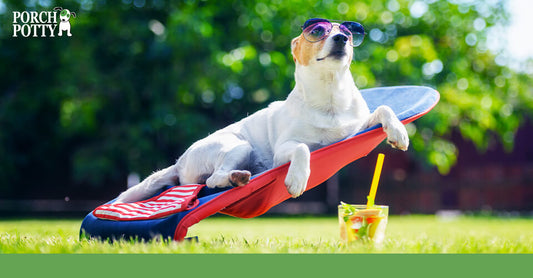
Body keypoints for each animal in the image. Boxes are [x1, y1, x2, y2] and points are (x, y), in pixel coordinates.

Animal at [115, 17, 408, 204]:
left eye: (347, 33)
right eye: (317, 32)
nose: (341, 39)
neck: (329, 96)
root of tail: (179, 161)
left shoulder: (355, 127)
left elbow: (384, 108)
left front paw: (399, 133)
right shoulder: (283, 151)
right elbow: (303, 148)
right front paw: (297, 179)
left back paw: (238, 178)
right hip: (238, 146)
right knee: (211, 181)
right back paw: (236, 177)